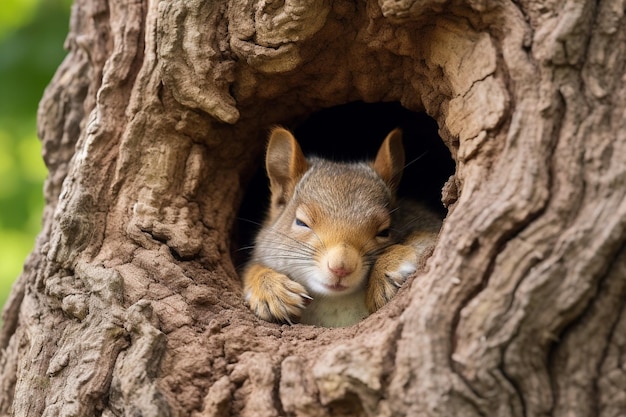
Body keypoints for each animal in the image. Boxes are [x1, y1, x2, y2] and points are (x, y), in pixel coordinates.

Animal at [239, 125, 438, 326]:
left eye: (385, 231)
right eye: (301, 222)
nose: (341, 267)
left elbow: (428, 237)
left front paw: (387, 269)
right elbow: (252, 268)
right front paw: (272, 290)